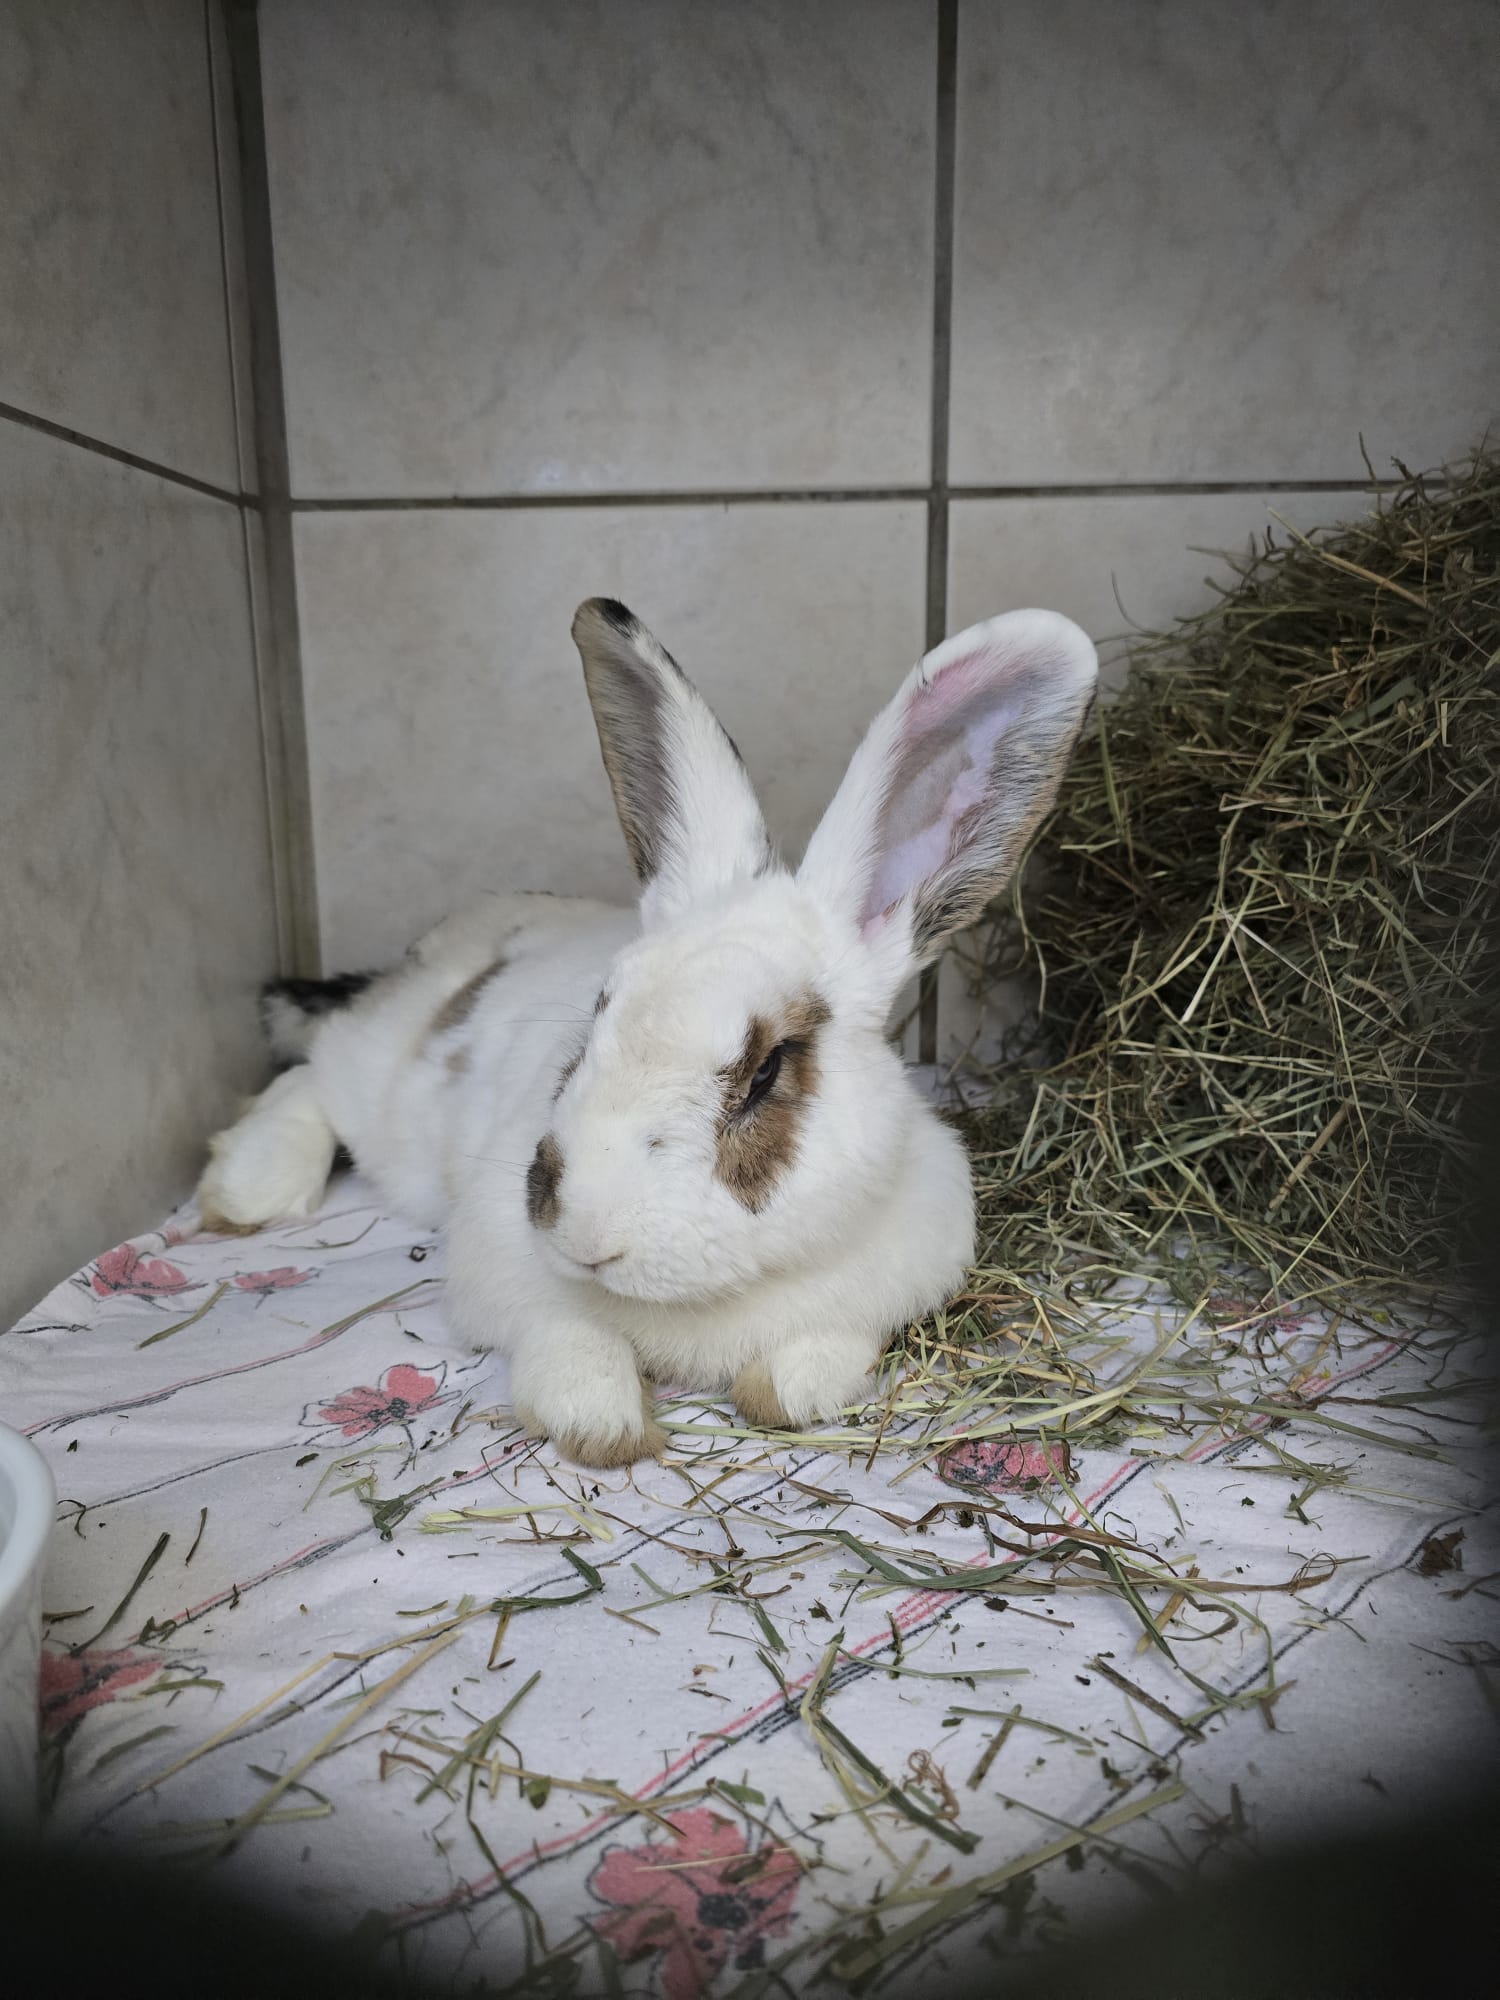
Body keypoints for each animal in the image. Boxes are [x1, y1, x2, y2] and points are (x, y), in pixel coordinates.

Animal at [199, 598, 1098, 1467]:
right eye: (598, 1015)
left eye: (767, 1070)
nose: (588, 1233)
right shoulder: (507, 1272)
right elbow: (571, 1345)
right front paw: (602, 1426)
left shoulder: (884, 1290)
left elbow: (812, 1367)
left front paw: (778, 1391)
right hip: (393, 1095)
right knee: (316, 1067)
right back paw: (247, 1191)